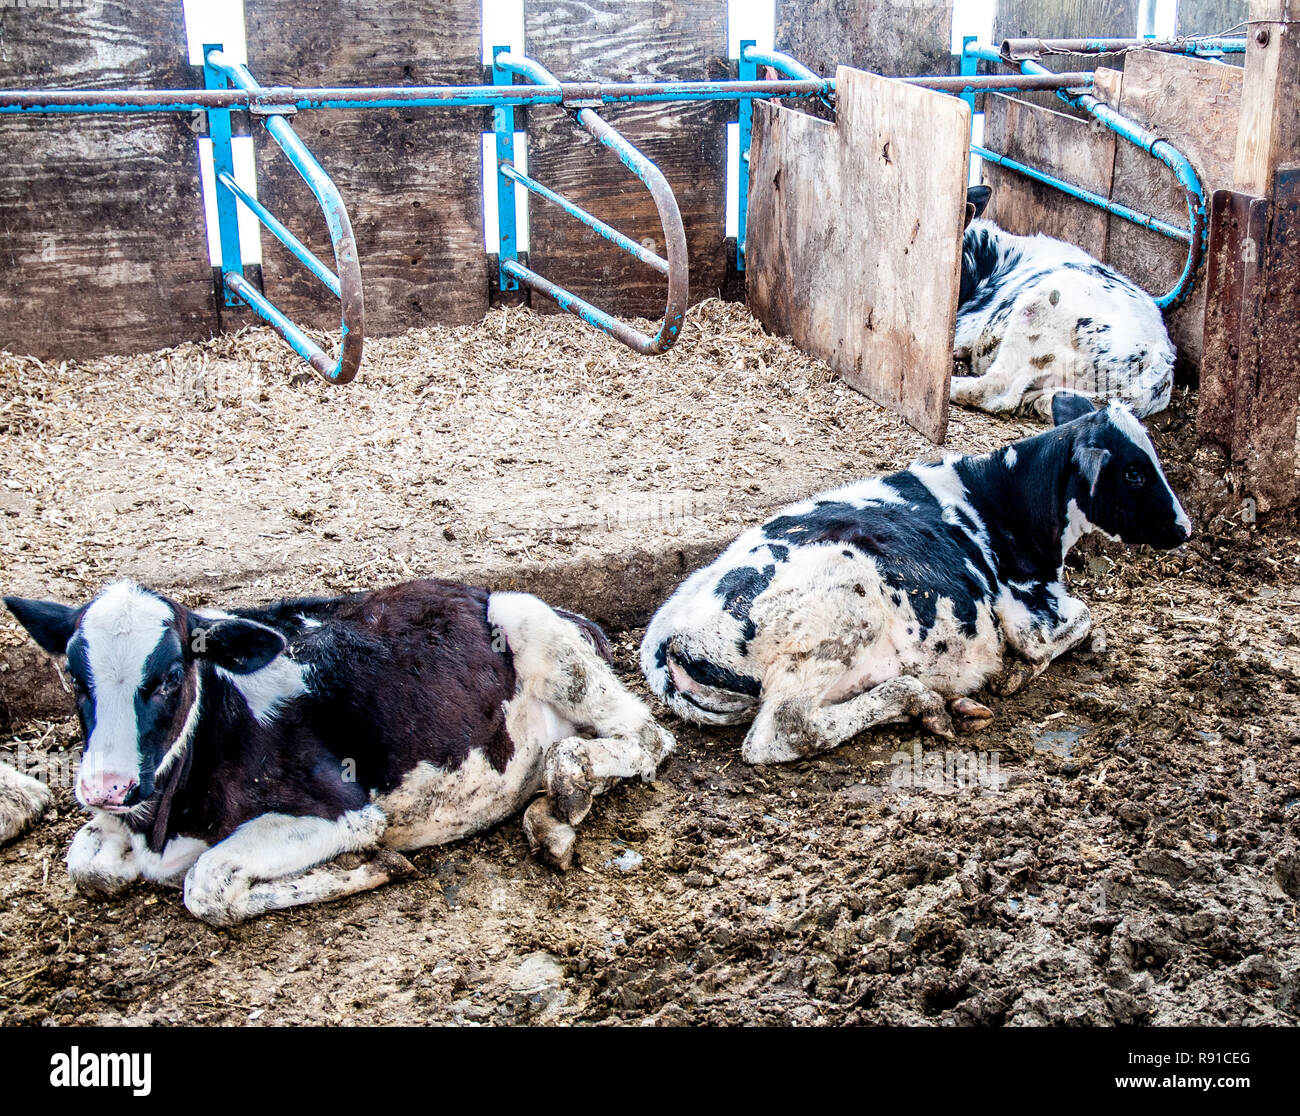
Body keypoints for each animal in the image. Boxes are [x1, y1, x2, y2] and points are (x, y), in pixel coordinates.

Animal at [3, 578, 674, 925]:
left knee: (645, 737)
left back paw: (565, 799)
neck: (165, 821)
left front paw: (369, 866)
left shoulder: (344, 810)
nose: (106, 787)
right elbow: (87, 863)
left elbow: (207, 885)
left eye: (170, 676)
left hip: (535, 629)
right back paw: (551, 810)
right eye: (75, 679)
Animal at [641, 392, 1190, 765]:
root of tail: (666, 636)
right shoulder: (1029, 609)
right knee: (785, 731)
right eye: (1135, 473)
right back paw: (921, 701)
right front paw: (1023, 672)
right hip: (842, 609)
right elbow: (1077, 623)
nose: (1185, 528)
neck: (1006, 500)